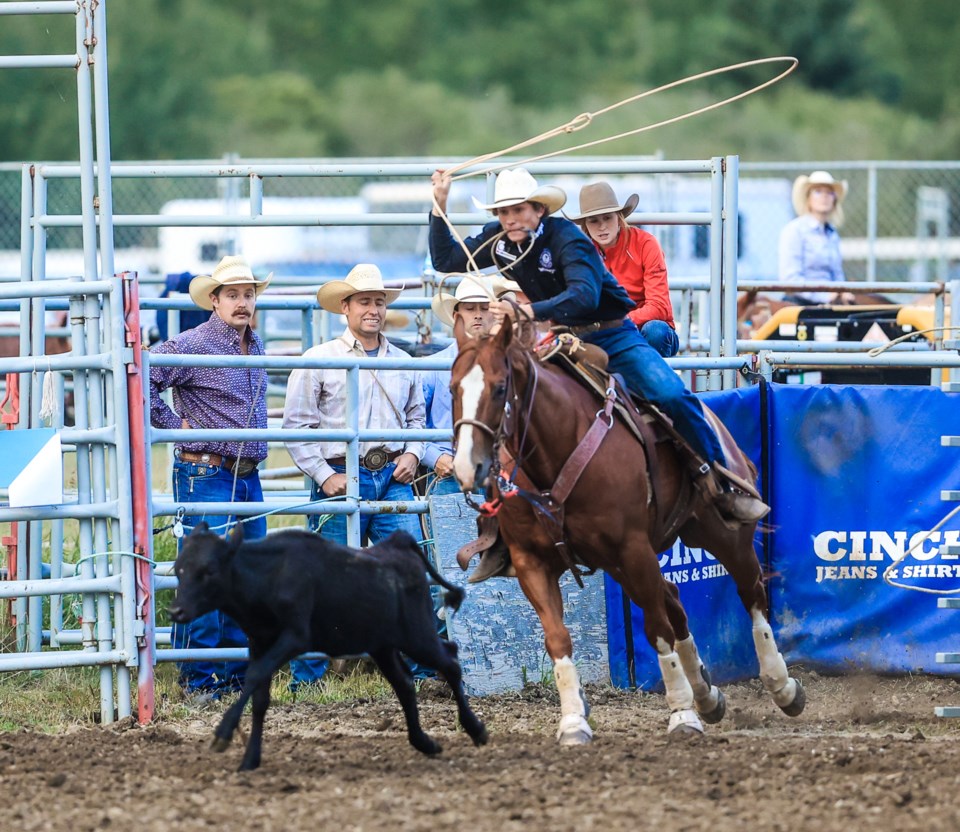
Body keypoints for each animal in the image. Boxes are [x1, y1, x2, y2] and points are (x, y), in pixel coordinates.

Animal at [167, 524, 488, 772]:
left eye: (208, 570)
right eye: (179, 569)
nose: (176, 611)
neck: (268, 575)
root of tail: (399, 543)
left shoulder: (294, 638)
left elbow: (254, 677)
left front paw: (223, 734)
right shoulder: (259, 643)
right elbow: (259, 698)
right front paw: (250, 760)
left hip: (417, 636)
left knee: (450, 661)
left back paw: (475, 729)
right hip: (383, 646)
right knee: (406, 684)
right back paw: (424, 742)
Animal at [450, 320, 804, 748]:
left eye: (501, 387)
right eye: (452, 388)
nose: (467, 467)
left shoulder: (632, 549)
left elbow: (656, 631)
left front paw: (681, 713)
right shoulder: (532, 562)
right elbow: (558, 638)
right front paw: (574, 721)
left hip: (718, 536)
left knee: (750, 594)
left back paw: (781, 685)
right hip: (624, 562)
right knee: (675, 599)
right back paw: (706, 694)